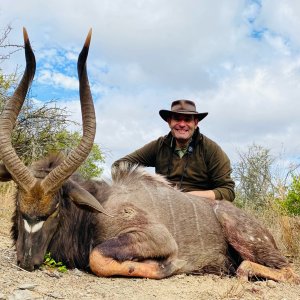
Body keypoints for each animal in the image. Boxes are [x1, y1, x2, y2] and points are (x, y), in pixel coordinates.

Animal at [0, 28, 300, 284]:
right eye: (20, 206)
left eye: (54, 210)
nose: (27, 261)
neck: (96, 208)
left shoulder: (157, 237)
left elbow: (97, 257)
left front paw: (169, 266)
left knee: (281, 270)